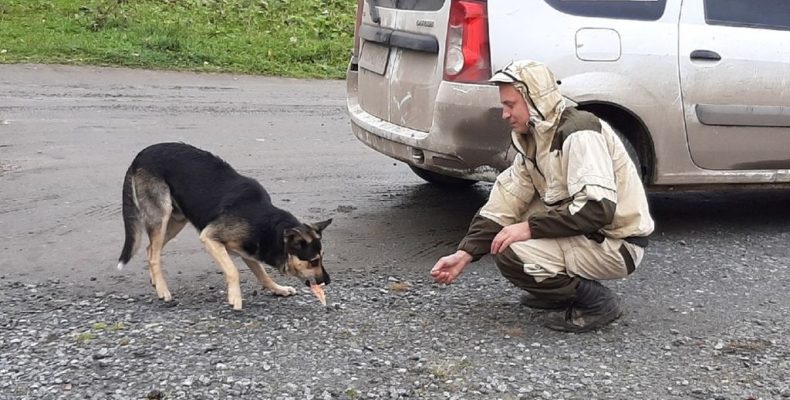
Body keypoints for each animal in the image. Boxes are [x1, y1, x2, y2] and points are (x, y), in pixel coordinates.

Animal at [116, 143, 332, 310]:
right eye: (313, 261)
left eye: (321, 258)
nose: (328, 281)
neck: (266, 224)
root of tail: (141, 154)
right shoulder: (209, 237)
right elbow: (232, 270)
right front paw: (235, 298)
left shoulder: (249, 251)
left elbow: (262, 274)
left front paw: (277, 289)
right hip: (162, 216)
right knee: (154, 254)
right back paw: (163, 290)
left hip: (176, 221)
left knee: (151, 248)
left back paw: (155, 280)